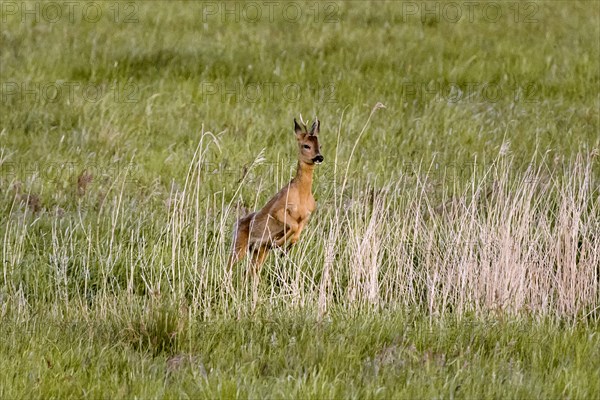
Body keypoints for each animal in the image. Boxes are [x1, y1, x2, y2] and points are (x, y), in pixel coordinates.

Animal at [229, 117, 324, 280]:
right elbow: (293, 226)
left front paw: (284, 248)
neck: (302, 195)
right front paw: (279, 244)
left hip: (258, 251)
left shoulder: (307, 215)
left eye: (320, 145)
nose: (319, 157)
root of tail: (237, 224)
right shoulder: (278, 210)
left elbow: (297, 233)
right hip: (239, 245)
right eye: (306, 145)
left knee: (250, 271)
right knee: (229, 266)